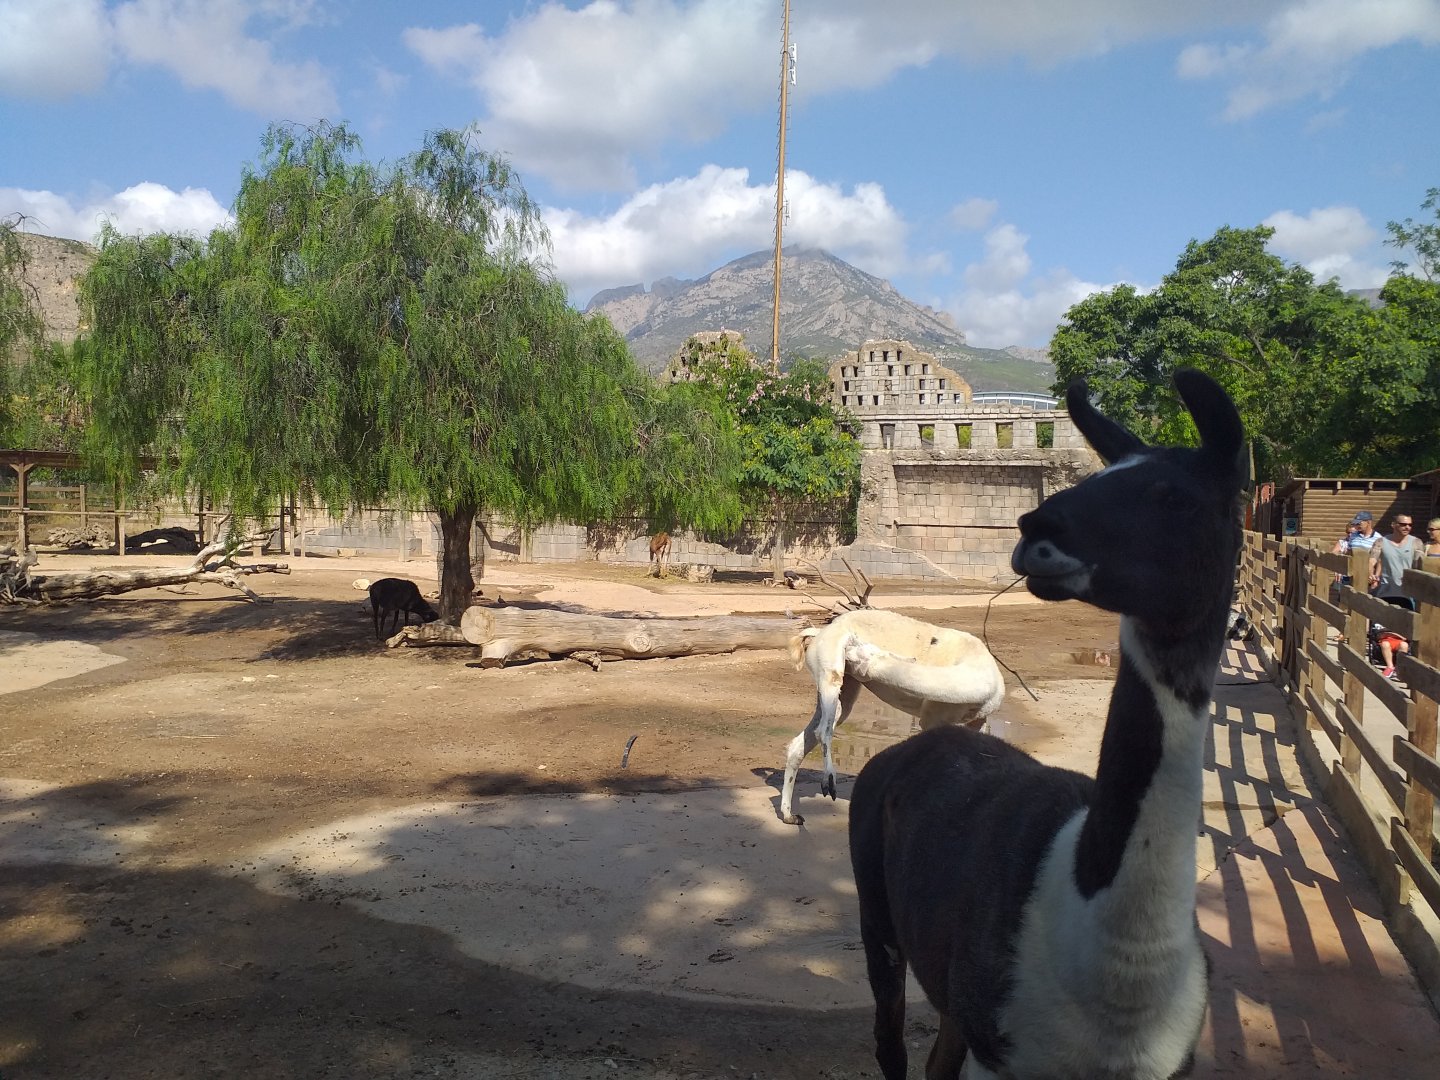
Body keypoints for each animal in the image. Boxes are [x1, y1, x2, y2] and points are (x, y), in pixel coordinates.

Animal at [778, 607, 1005, 825]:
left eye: (858, 650)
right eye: (853, 648)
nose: (848, 645)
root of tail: (819, 633)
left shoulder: (978, 721)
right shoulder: (932, 719)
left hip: (843, 686)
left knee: (801, 743)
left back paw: (790, 815)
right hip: (830, 677)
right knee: (822, 730)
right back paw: (828, 782)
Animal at [848, 369, 1244, 1079]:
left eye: (1172, 494)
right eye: (1102, 473)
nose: (1037, 525)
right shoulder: (1002, 1051)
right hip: (878, 911)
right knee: (890, 1042)